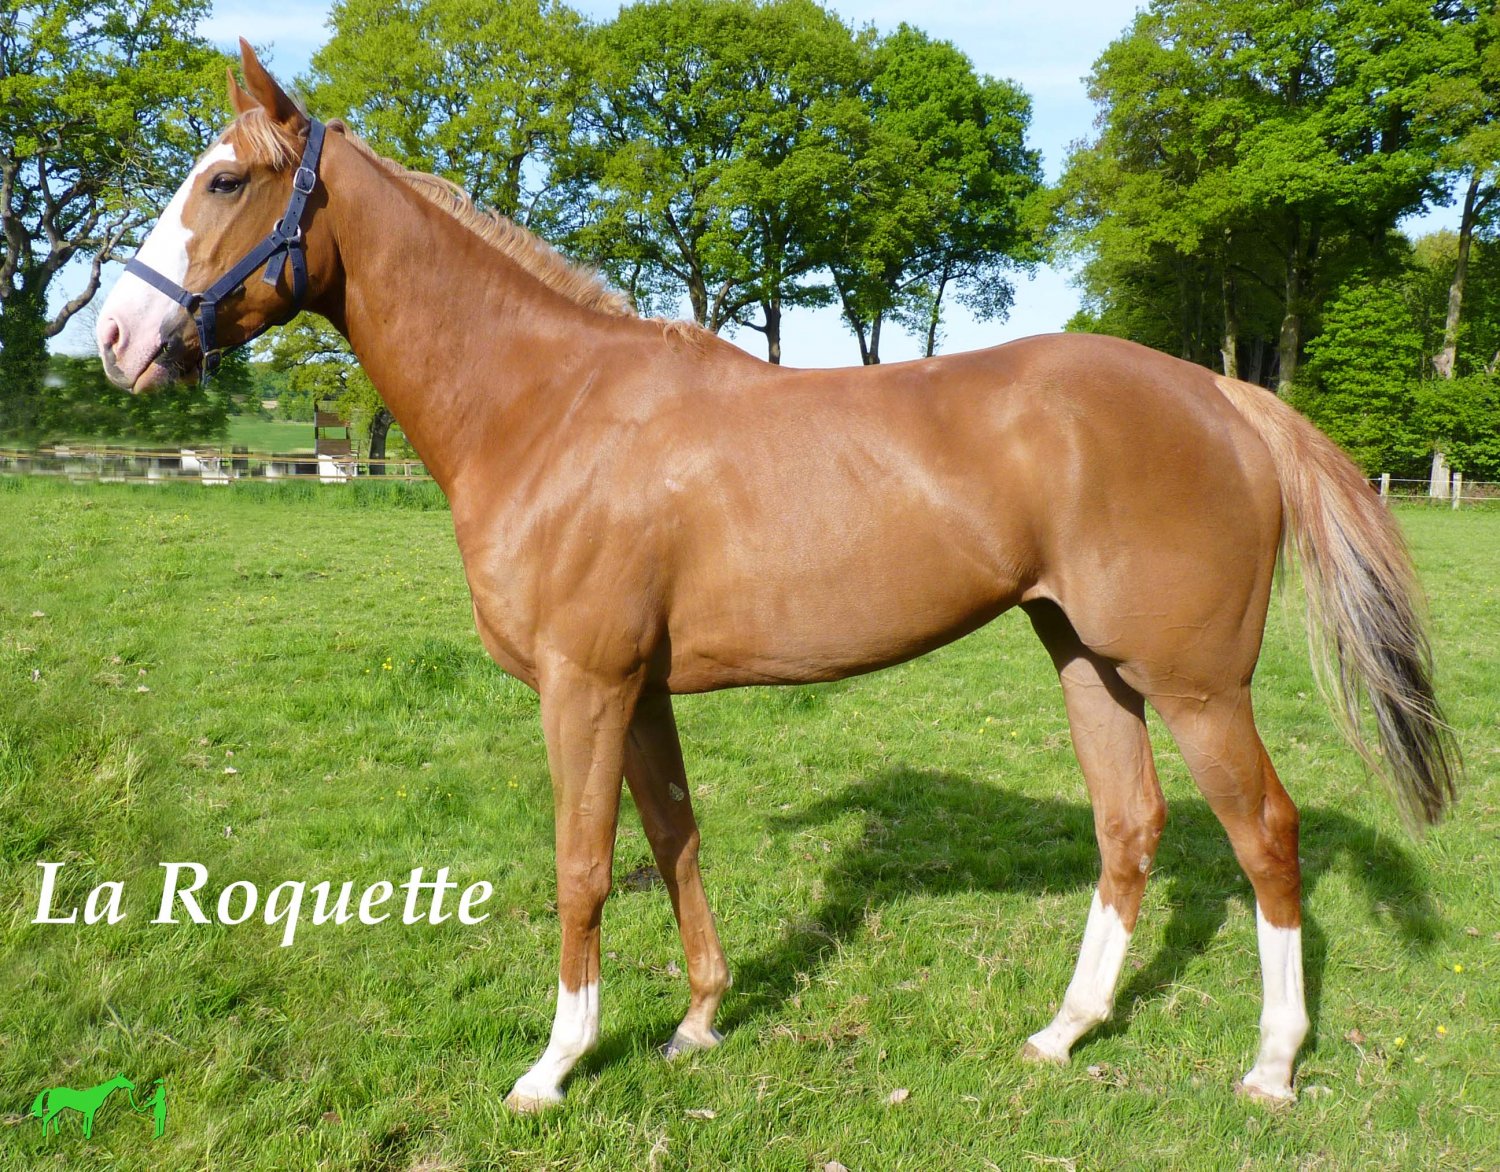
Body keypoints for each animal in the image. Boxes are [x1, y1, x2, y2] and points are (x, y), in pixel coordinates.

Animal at [96, 42, 1457, 1113]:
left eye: (225, 179)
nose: (115, 339)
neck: (550, 407)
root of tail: (1222, 395)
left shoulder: (583, 686)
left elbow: (583, 864)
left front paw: (554, 1065)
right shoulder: (640, 689)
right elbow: (673, 835)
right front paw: (699, 1019)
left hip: (1195, 683)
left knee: (1264, 834)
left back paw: (1272, 1063)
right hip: (1089, 659)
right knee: (1130, 828)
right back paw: (1062, 1031)